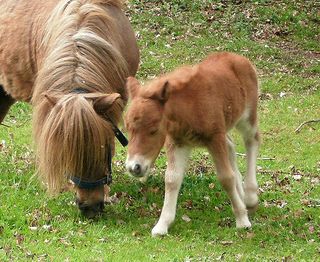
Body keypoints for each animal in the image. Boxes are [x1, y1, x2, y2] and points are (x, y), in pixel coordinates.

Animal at [125, 52, 260, 236]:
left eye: (153, 130)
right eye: (127, 129)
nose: (134, 167)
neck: (189, 107)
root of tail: (239, 58)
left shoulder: (214, 138)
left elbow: (226, 177)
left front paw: (242, 220)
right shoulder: (177, 142)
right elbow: (172, 179)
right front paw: (162, 225)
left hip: (247, 117)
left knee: (252, 140)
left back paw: (250, 197)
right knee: (231, 146)